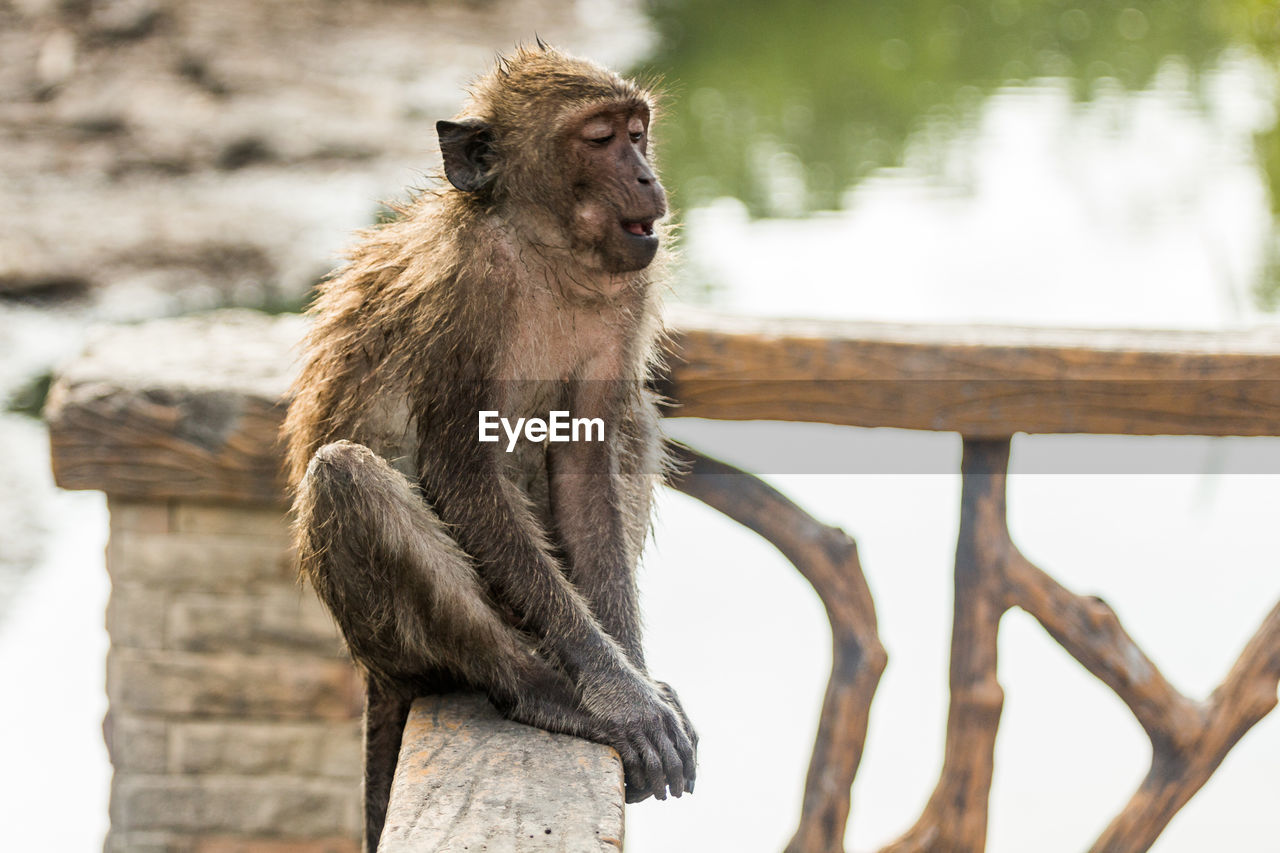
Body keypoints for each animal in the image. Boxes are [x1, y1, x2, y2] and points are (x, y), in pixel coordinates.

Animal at [281, 44, 701, 845]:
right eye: (600, 139)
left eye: (637, 132)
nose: (645, 175)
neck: (545, 249)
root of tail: (374, 670)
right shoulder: (463, 295)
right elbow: (461, 472)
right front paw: (619, 695)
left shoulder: (627, 291)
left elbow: (586, 460)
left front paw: (631, 670)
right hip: (395, 642)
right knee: (347, 476)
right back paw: (538, 687)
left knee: (635, 419)